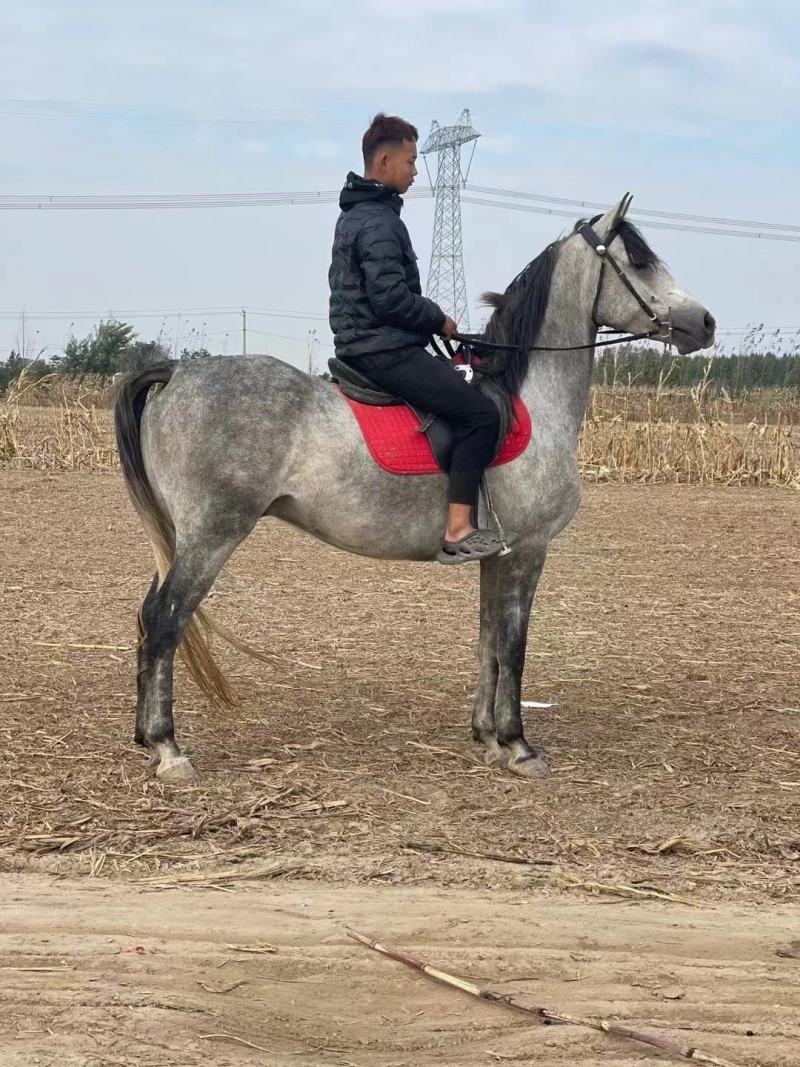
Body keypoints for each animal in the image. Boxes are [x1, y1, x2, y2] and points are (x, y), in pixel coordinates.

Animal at [114, 194, 715, 784]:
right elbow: (514, 646)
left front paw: (487, 737)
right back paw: (169, 749)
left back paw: (148, 739)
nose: (705, 322)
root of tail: (177, 373)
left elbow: (488, 641)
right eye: (640, 262)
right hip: (212, 535)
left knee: (148, 618)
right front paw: (519, 746)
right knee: (165, 621)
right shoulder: (527, 551)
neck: (529, 401)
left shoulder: (496, 556)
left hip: (182, 537)